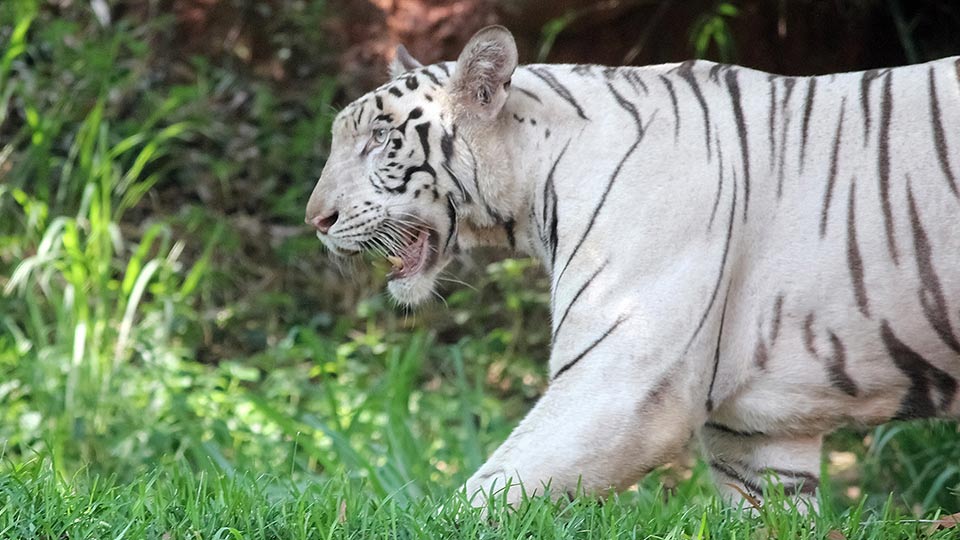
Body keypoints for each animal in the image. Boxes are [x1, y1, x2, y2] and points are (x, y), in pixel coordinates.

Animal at [310, 25, 960, 506]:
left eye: (380, 139)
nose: (316, 219)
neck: (537, 179)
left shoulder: (618, 383)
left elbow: (484, 496)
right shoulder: (761, 435)